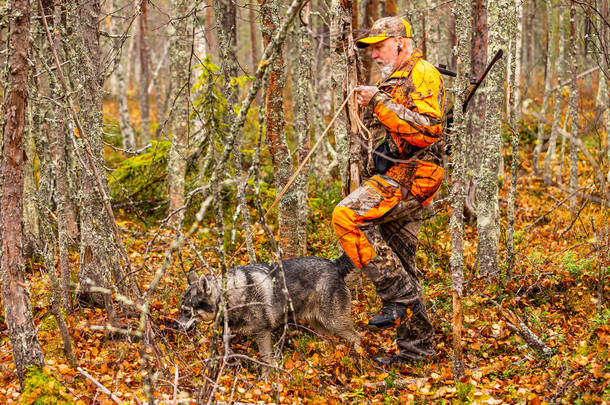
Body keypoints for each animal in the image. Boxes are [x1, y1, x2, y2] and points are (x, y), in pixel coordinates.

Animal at [173, 254, 358, 370]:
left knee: (358, 336)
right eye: (181, 310)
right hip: (320, 324)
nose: (174, 326)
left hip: (335, 322)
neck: (231, 296)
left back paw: (359, 356)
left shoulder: (263, 333)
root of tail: (334, 264)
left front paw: (266, 384)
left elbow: (266, 362)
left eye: (187, 312)